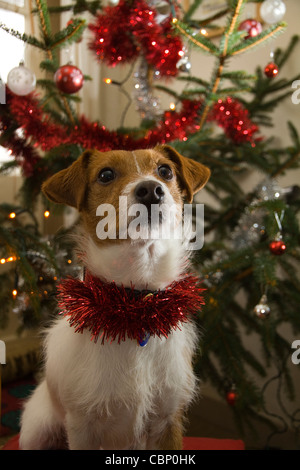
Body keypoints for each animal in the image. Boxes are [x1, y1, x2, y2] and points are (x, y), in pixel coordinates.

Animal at [19, 145, 210, 450]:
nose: (150, 190)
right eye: (106, 175)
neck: (133, 309)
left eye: (165, 171)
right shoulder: (82, 427)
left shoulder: (168, 419)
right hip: (38, 430)